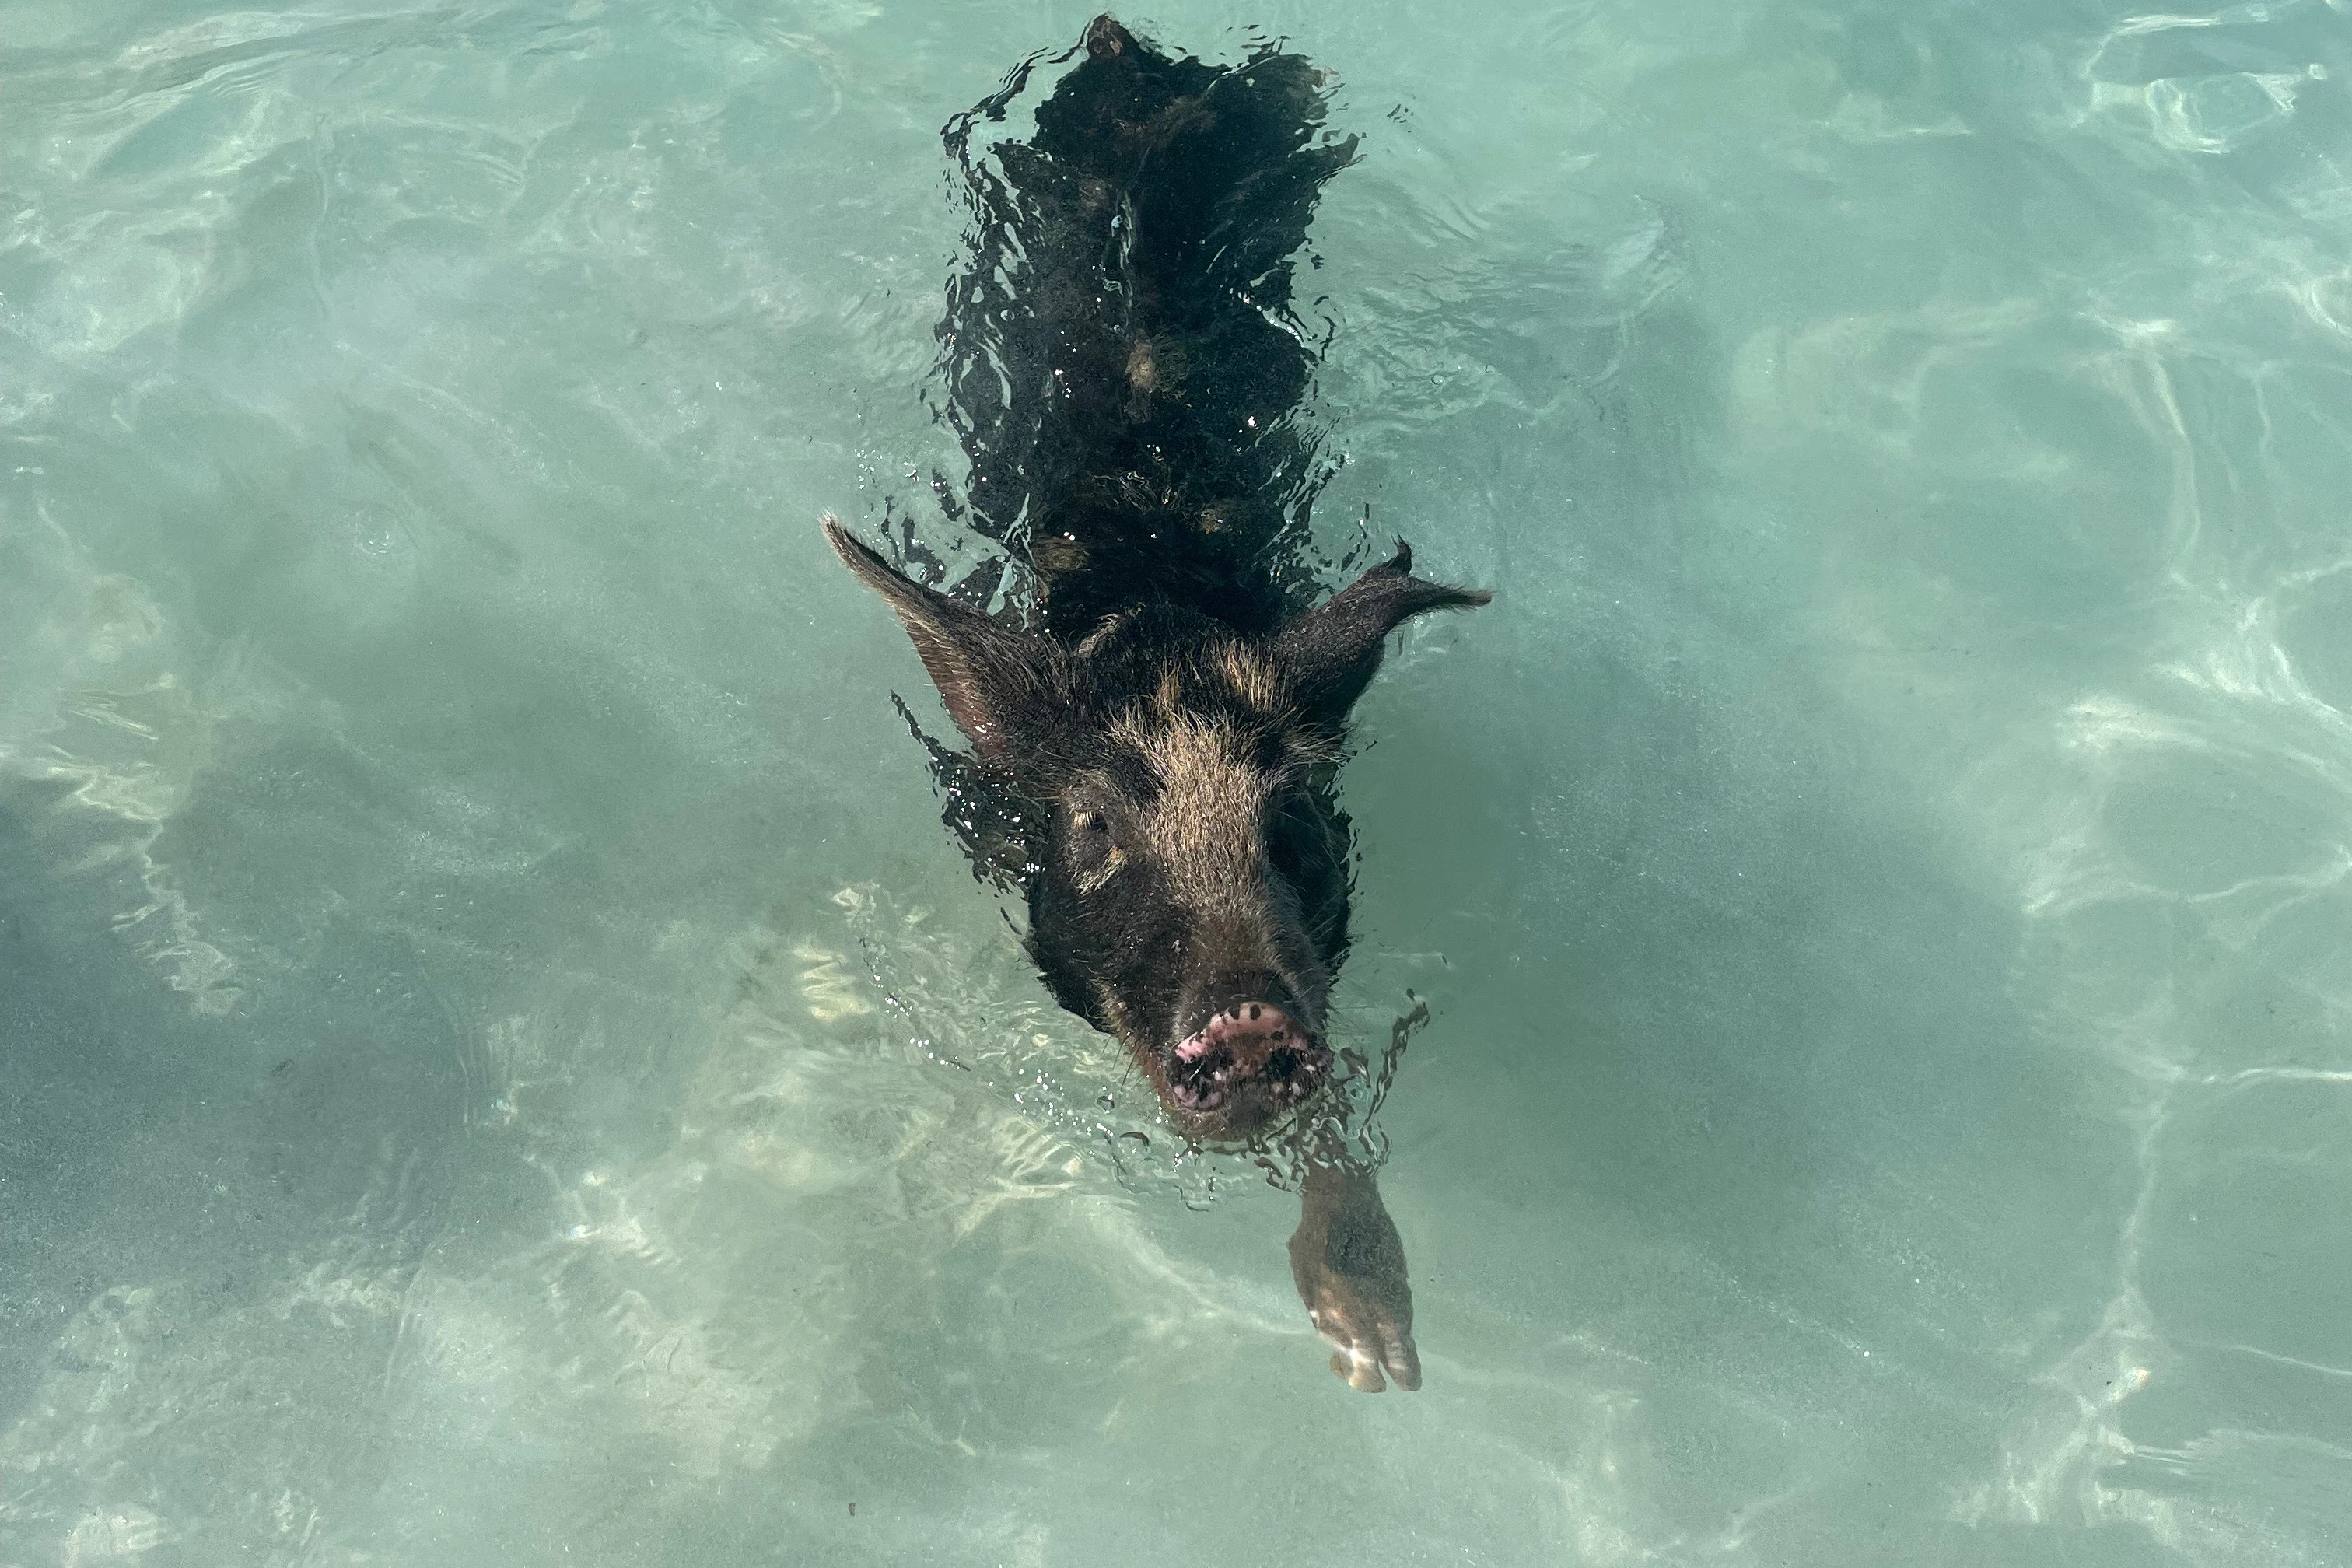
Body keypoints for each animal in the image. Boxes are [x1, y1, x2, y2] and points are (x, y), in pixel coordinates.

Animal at [824, 14, 1487, 1392]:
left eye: (1294, 821)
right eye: (1093, 827)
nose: (1244, 1017)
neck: (1162, 632)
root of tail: (1128, 47)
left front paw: (1375, 1358)